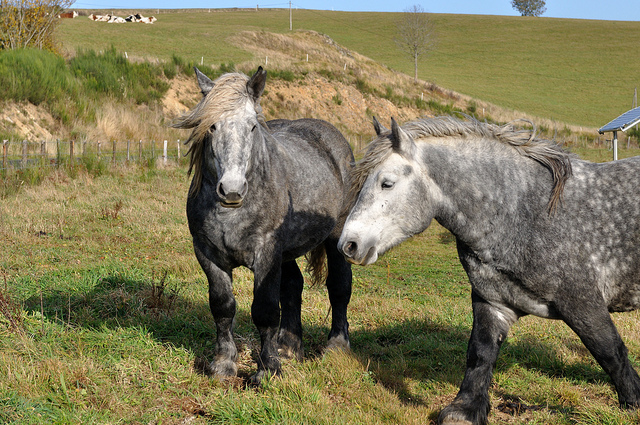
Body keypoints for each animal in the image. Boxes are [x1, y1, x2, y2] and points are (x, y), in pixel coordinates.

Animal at [174, 67, 356, 384]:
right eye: (212, 127)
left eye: (252, 127)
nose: (231, 190)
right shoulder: (207, 254)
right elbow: (222, 307)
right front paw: (223, 365)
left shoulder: (266, 253)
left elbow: (265, 310)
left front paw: (267, 370)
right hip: (287, 252)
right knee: (293, 286)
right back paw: (289, 347)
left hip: (335, 238)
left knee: (339, 286)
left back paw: (336, 346)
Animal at [338, 116, 640, 424]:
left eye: (387, 183)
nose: (348, 245)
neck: (523, 213)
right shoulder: (493, 302)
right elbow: (480, 352)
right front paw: (466, 409)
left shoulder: (581, 301)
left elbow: (609, 351)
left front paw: (633, 402)